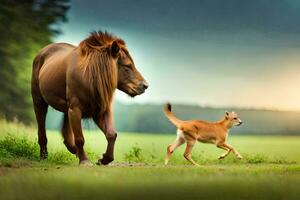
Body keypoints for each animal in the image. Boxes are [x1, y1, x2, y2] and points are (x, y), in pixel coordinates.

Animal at [31, 30, 148, 166]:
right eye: (127, 66)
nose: (145, 86)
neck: (91, 77)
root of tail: (41, 52)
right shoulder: (75, 109)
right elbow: (80, 138)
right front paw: (85, 160)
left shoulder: (101, 110)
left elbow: (111, 134)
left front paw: (104, 159)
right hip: (39, 101)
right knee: (42, 130)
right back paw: (44, 155)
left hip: (67, 108)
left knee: (66, 135)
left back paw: (74, 151)